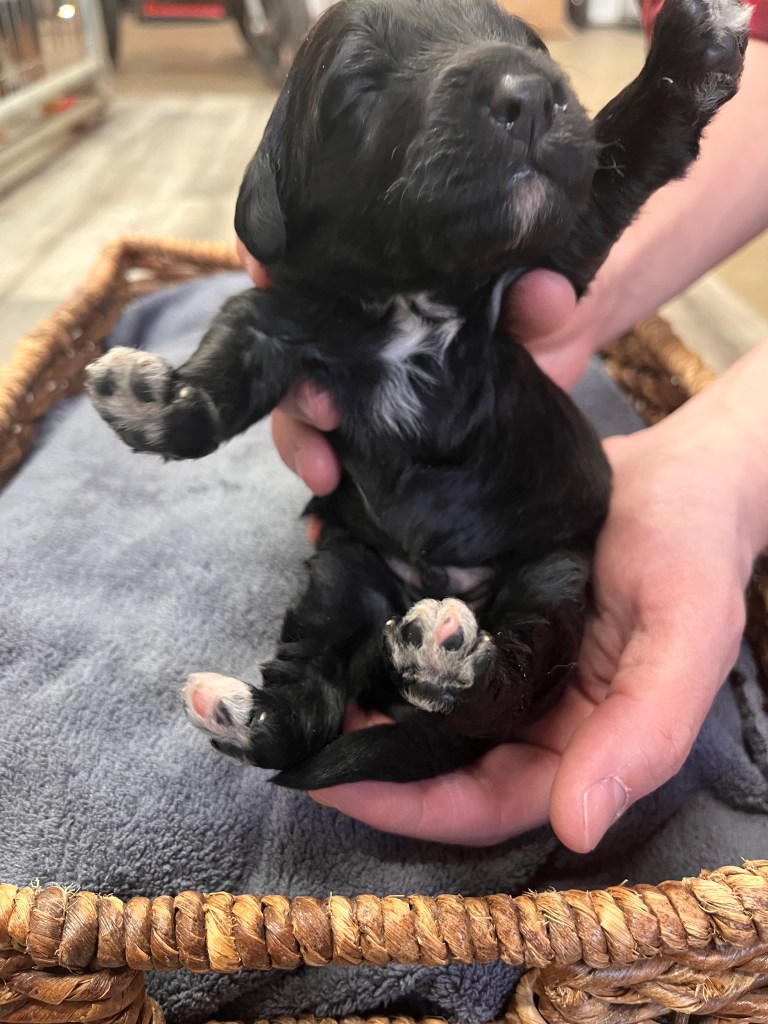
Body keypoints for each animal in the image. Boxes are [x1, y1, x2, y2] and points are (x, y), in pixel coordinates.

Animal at [86, 0, 748, 788]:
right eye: (363, 85)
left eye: (532, 45)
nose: (528, 93)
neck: (414, 291)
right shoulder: (288, 316)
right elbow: (233, 344)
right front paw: (154, 402)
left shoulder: (555, 249)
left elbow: (627, 143)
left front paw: (695, 38)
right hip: (347, 572)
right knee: (315, 697)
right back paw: (251, 717)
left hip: (553, 573)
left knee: (508, 687)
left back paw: (446, 661)